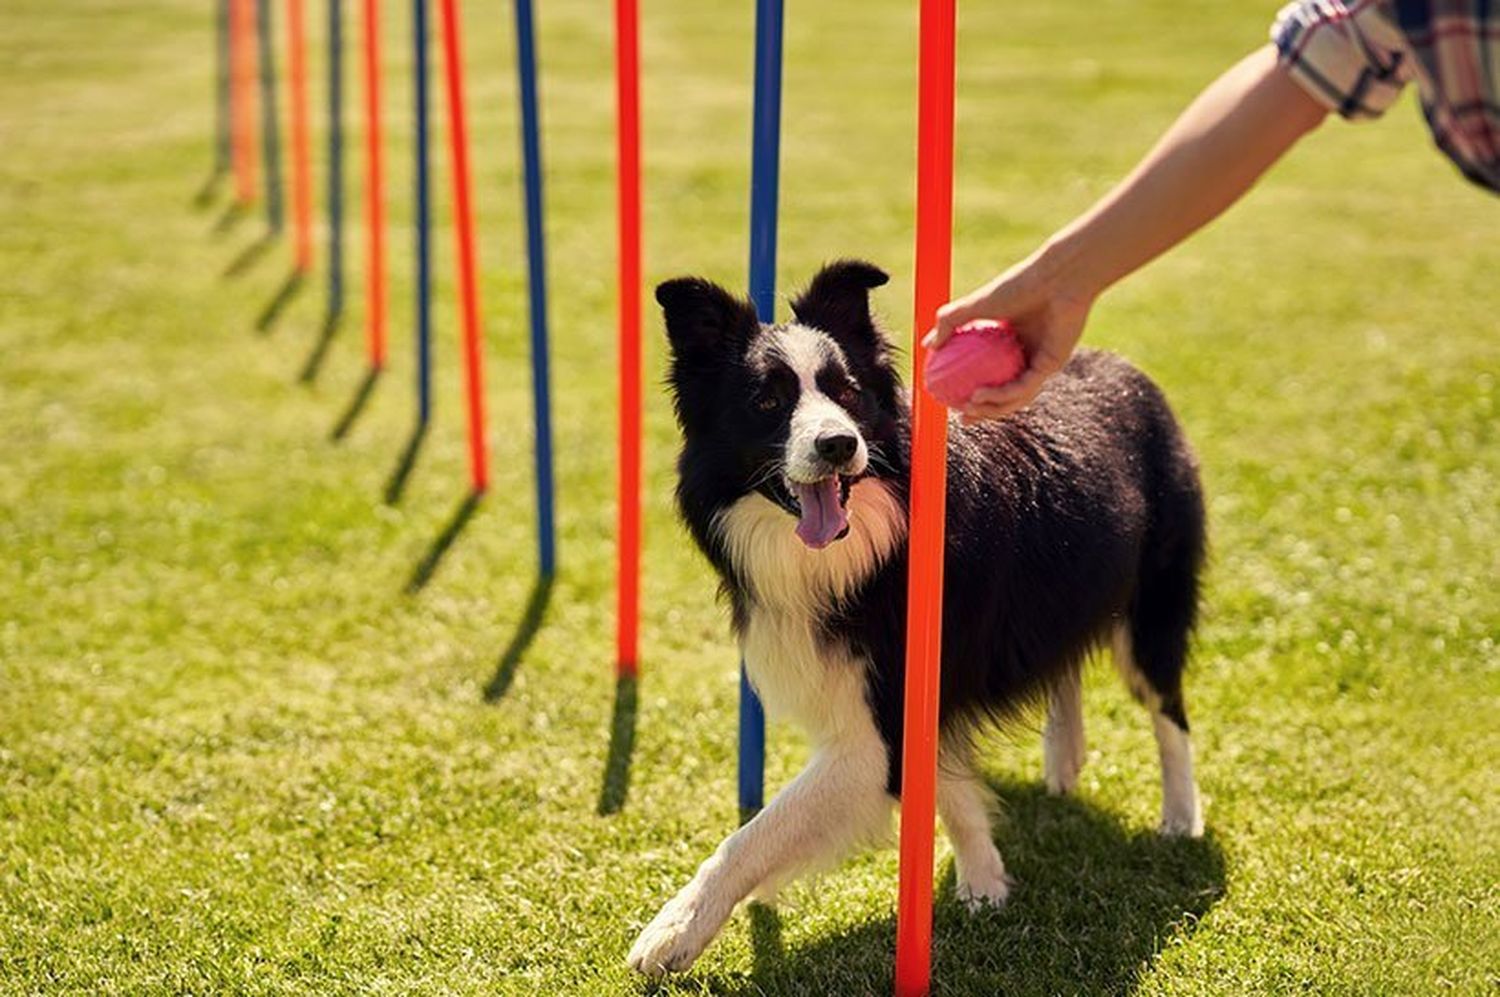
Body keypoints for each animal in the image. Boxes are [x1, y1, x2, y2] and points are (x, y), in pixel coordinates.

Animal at [630, 260, 1206, 977]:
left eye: (847, 392)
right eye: (766, 402)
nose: (838, 443)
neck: (867, 547)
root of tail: (1122, 366)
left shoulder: (878, 725)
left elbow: (758, 833)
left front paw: (672, 930)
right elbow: (946, 784)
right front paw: (985, 878)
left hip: (1155, 599)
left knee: (1168, 707)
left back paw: (1181, 814)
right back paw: (1065, 757)